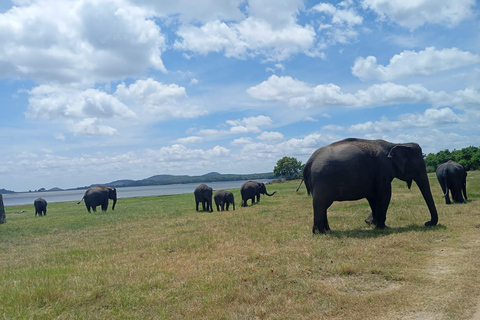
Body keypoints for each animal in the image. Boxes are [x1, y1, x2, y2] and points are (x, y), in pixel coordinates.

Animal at [304, 139, 438, 234]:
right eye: (420, 165)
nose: (427, 223)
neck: (396, 144)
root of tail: (309, 162)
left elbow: (373, 197)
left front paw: (374, 223)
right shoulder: (383, 169)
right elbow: (385, 194)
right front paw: (383, 227)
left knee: (323, 205)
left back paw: (326, 231)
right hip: (322, 179)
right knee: (321, 204)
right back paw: (320, 233)